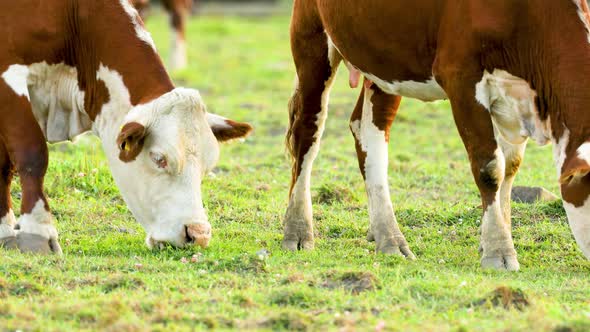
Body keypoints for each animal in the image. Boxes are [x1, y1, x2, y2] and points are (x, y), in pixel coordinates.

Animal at [0, 0, 252, 254]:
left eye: (207, 167)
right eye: (159, 159)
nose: (197, 234)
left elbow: (4, 165)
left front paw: (5, 231)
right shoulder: (8, 77)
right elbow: (32, 154)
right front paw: (37, 231)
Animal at [284, 0, 590, 270]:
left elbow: (510, 166)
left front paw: (492, 238)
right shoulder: (461, 78)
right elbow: (490, 169)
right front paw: (499, 251)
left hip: (383, 59)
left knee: (369, 130)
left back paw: (388, 237)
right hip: (311, 38)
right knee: (307, 131)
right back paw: (298, 230)